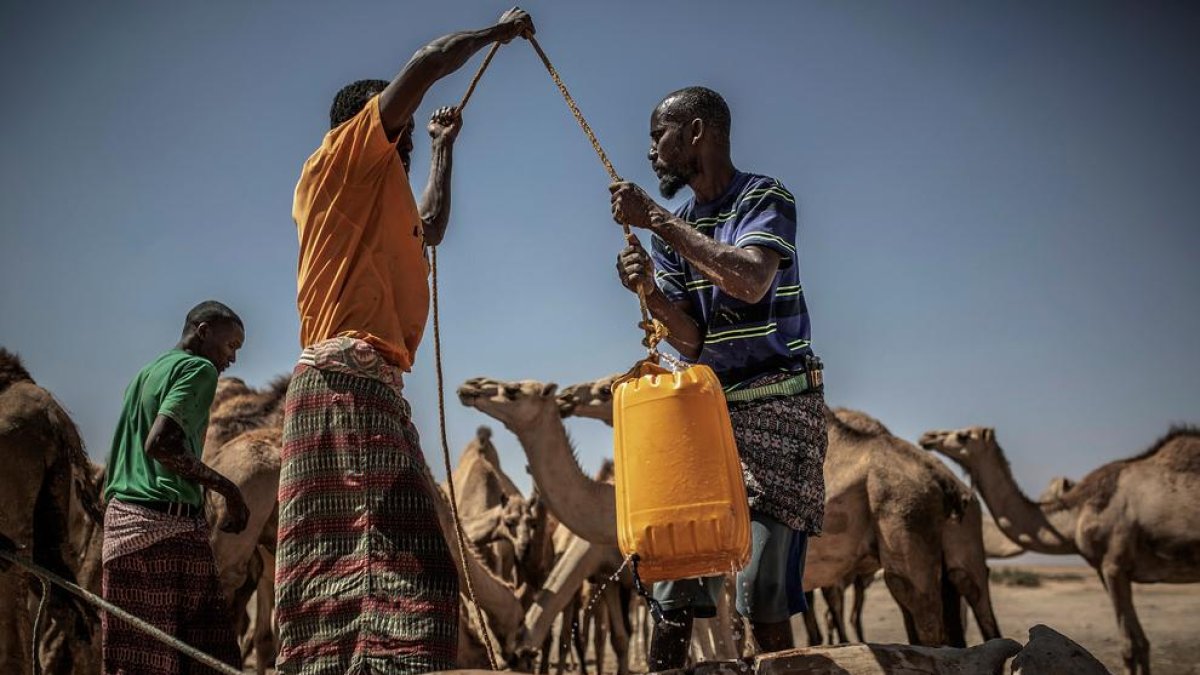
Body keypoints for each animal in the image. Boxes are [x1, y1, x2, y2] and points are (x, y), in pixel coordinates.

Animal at [916, 422, 1200, 667]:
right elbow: (1140, 643)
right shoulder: (1103, 569)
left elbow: (1132, 646)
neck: (1077, 513)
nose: (928, 437)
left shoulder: (1114, 565)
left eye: (964, 435)